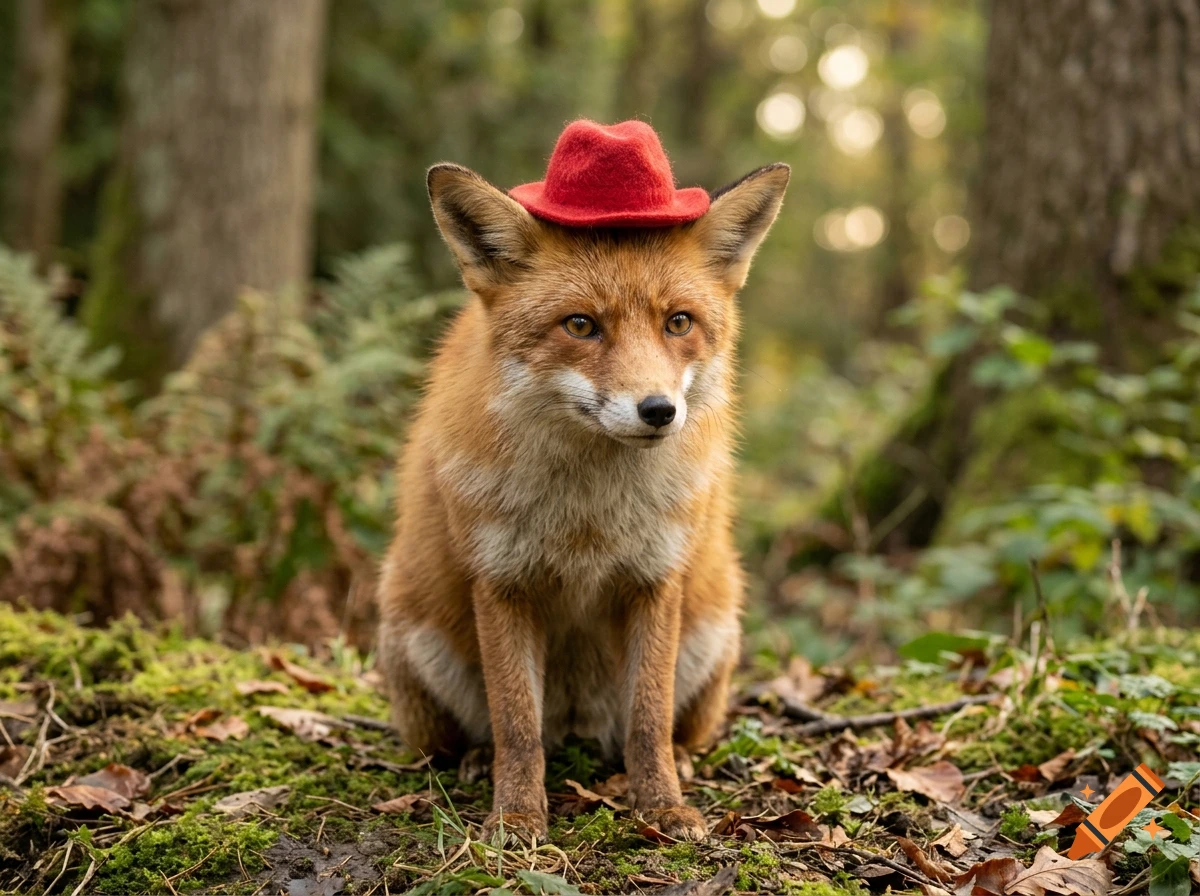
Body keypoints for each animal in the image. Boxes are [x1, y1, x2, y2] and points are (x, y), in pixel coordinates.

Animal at [376, 156, 789, 843]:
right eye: (580, 325)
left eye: (679, 322)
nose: (658, 410)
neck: (588, 518)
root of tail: (576, 723)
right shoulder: (502, 582)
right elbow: (518, 725)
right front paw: (516, 816)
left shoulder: (655, 578)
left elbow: (648, 721)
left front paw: (662, 807)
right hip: (413, 644)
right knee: (485, 736)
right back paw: (478, 759)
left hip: (714, 632)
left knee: (657, 731)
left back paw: (677, 760)